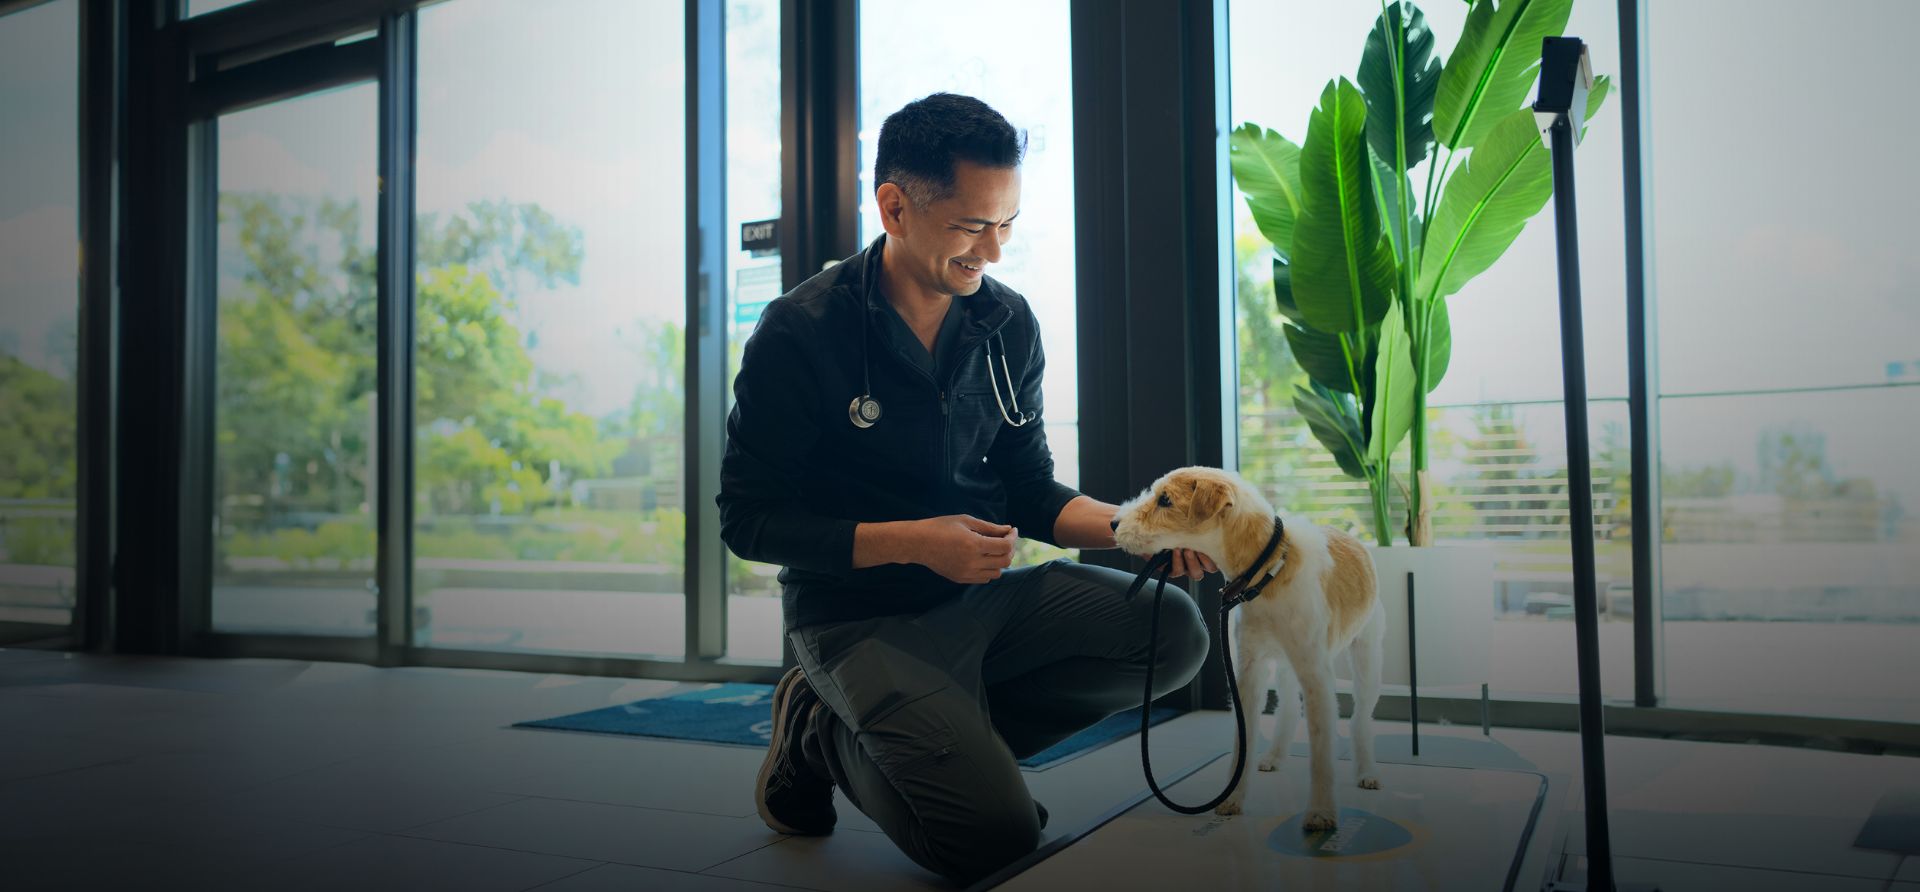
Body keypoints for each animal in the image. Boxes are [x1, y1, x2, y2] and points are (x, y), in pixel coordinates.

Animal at [1113, 466, 1382, 828]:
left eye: (1165, 500)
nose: (1113, 523)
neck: (1269, 571)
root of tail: (1352, 536)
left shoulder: (1316, 676)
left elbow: (1322, 748)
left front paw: (1321, 812)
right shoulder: (1249, 671)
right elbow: (1244, 739)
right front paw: (1233, 798)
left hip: (1366, 656)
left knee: (1360, 719)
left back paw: (1366, 771)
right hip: (1284, 666)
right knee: (1287, 709)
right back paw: (1274, 755)